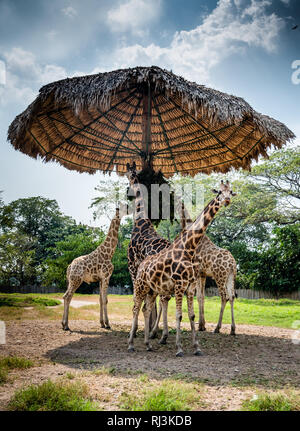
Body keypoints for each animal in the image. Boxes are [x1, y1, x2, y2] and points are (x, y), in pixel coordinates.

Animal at [61, 204, 127, 332]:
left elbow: (101, 300)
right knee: (67, 296)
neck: (109, 253)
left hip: (70, 280)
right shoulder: (106, 277)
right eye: (124, 207)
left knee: (66, 296)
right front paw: (108, 324)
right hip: (76, 280)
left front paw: (102, 323)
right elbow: (105, 300)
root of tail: (70, 266)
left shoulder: (100, 279)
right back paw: (66, 325)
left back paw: (63, 324)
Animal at [151, 201, 238, 342]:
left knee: (224, 297)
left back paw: (217, 328)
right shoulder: (202, 274)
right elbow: (201, 297)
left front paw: (201, 325)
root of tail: (232, 264)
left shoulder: (196, 273)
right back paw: (232, 329)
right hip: (231, 276)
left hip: (219, 276)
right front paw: (202, 325)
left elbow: (198, 297)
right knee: (231, 296)